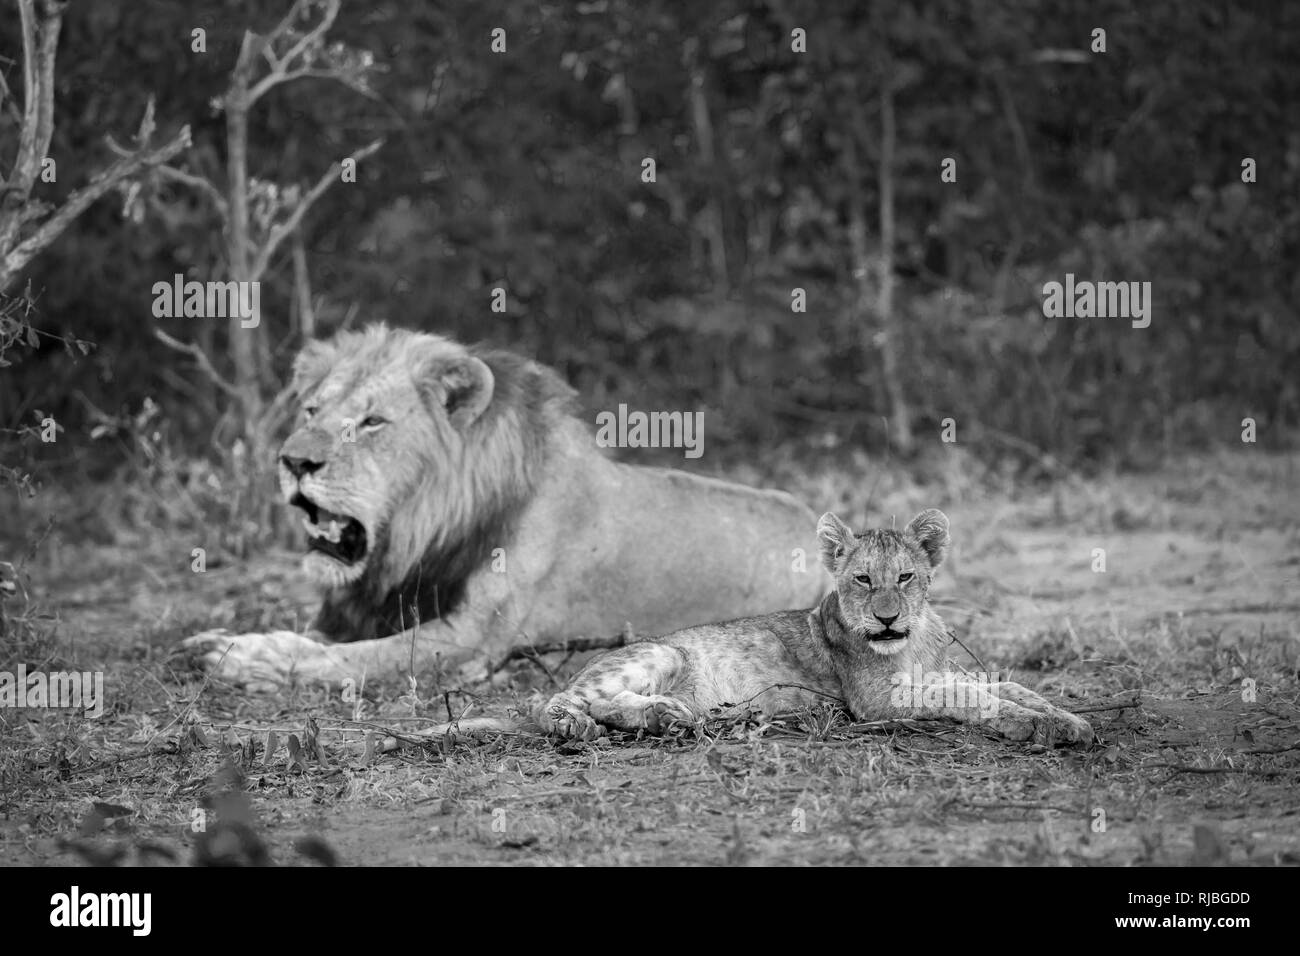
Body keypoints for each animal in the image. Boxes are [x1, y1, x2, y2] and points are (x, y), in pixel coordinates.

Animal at [183, 325, 826, 691]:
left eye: (372, 422)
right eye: (312, 410)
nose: (293, 461)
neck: (418, 535)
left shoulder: (473, 638)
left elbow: (354, 661)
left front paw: (236, 657)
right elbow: (317, 638)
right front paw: (226, 637)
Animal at [421, 509, 1092, 749]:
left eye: (905, 577)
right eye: (861, 581)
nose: (887, 617)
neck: (913, 641)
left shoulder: (937, 673)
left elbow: (1011, 686)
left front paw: (1066, 719)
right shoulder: (877, 702)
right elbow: (972, 698)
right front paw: (1039, 726)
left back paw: (674, 716)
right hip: (660, 652)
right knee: (560, 702)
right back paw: (611, 721)